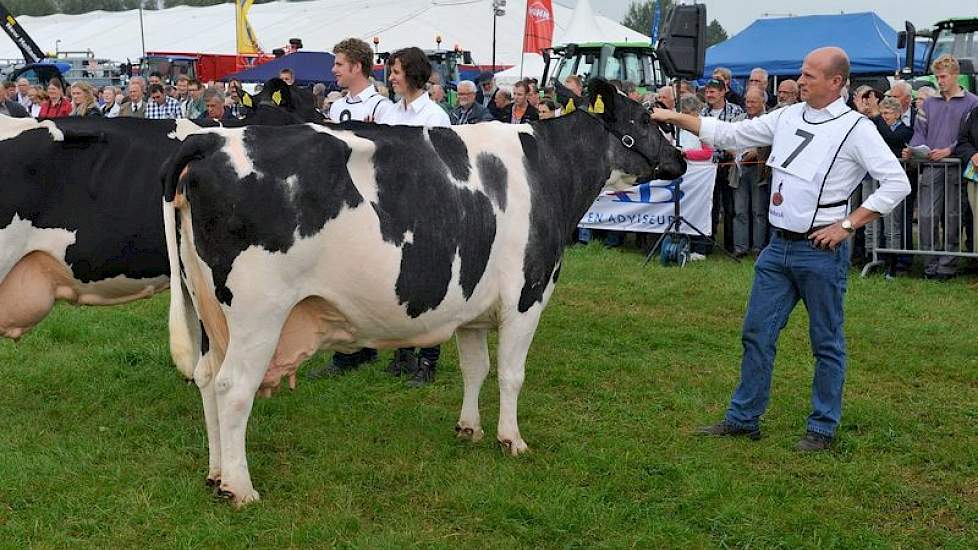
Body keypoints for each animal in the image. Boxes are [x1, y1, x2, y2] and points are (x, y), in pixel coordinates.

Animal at [164, 80, 684, 506]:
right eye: (643, 120)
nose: (679, 159)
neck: (548, 170)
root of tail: (210, 139)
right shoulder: (527, 296)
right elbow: (511, 374)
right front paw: (511, 440)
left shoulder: (473, 308)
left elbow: (477, 368)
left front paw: (469, 428)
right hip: (258, 313)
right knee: (233, 388)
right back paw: (240, 487)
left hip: (207, 308)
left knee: (207, 380)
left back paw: (215, 473)